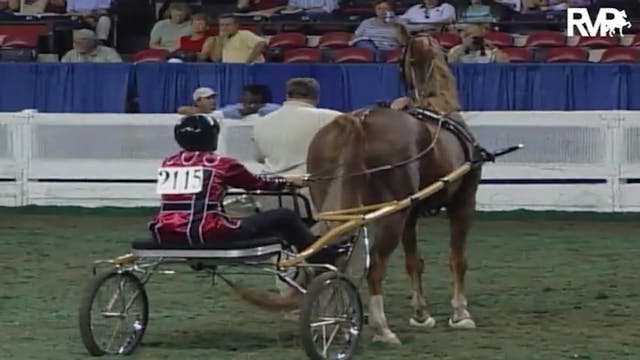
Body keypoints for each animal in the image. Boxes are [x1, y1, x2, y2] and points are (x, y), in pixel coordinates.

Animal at [306, 34, 484, 346]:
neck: (440, 107)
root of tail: (360, 120)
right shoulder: (464, 201)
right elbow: (457, 259)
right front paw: (461, 314)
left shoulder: (410, 213)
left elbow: (414, 262)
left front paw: (421, 314)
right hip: (391, 214)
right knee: (375, 266)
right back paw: (381, 328)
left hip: (339, 209)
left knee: (330, 260)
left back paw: (335, 323)